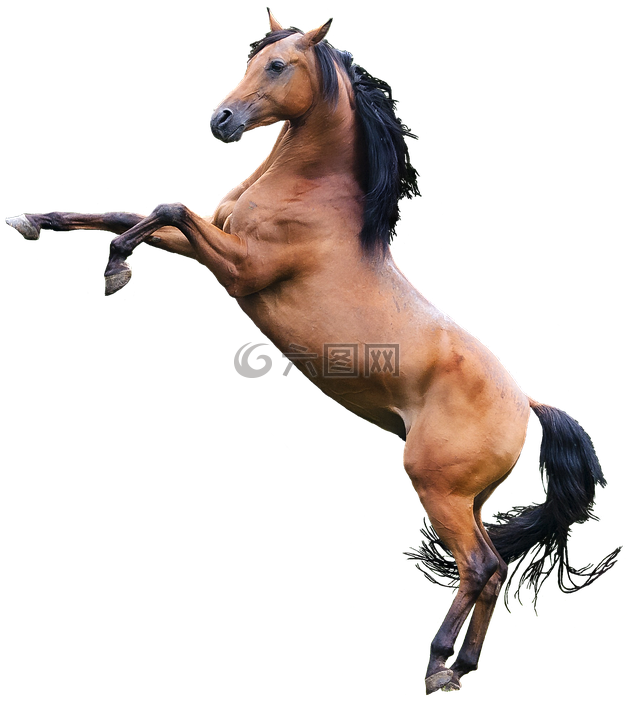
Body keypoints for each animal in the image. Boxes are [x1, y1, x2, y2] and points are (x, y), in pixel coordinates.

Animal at [4, 8, 620, 694]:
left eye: (278, 66)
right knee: (491, 573)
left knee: (480, 568)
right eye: (249, 61)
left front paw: (116, 270)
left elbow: (166, 206)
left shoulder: (240, 269)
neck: (313, 198)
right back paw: (460, 667)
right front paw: (34, 221)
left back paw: (437, 665)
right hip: (472, 501)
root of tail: (530, 406)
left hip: (437, 489)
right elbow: (124, 212)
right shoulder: (209, 243)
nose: (221, 119)